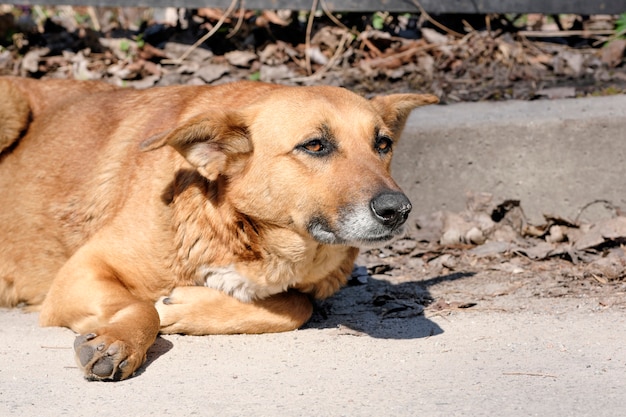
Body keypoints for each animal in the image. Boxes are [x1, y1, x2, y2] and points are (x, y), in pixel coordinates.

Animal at [0, 75, 436, 380]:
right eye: (315, 145)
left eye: (382, 145)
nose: (398, 210)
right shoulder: (80, 272)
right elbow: (143, 306)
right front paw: (119, 341)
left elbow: (297, 306)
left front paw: (185, 307)